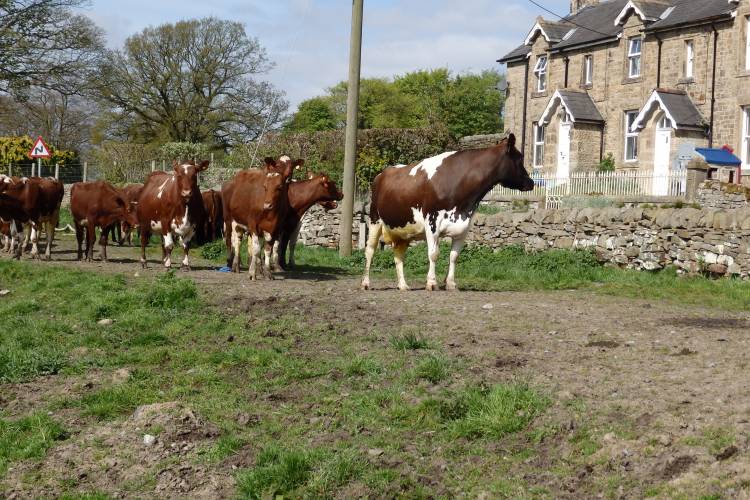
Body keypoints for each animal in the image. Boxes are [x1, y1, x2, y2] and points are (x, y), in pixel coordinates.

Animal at [361, 134, 534, 292]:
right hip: (375, 219)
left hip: (403, 229)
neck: (463, 204)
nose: (531, 182)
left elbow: (454, 256)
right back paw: (365, 283)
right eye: (519, 158)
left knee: (398, 255)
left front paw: (450, 283)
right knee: (370, 250)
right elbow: (433, 254)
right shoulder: (432, 223)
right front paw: (431, 283)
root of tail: (382, 173)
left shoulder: (464, 226)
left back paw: (403, 285)